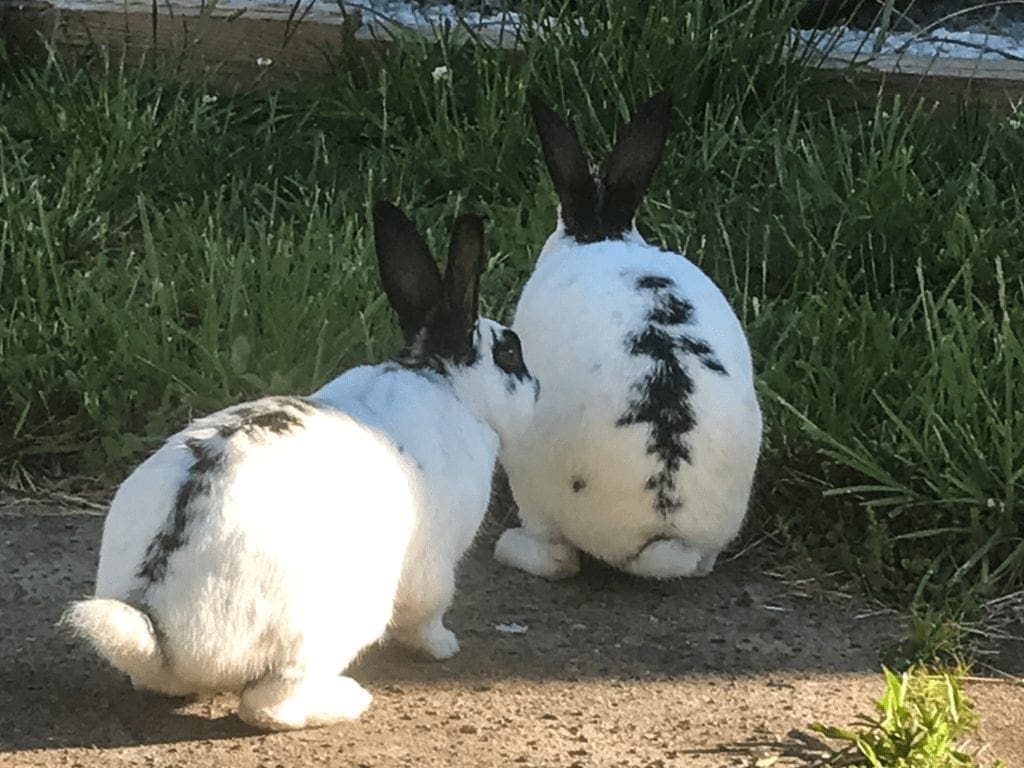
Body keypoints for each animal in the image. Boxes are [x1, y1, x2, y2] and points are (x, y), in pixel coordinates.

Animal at [61, 204, 544, 733]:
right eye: (511, 353)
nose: (538, 388)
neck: (443, 382)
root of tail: (162, 632)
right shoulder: (433, 566)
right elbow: (426, 612)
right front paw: (444, 647)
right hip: (330, 625)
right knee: (269, 705)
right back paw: (349, 700)